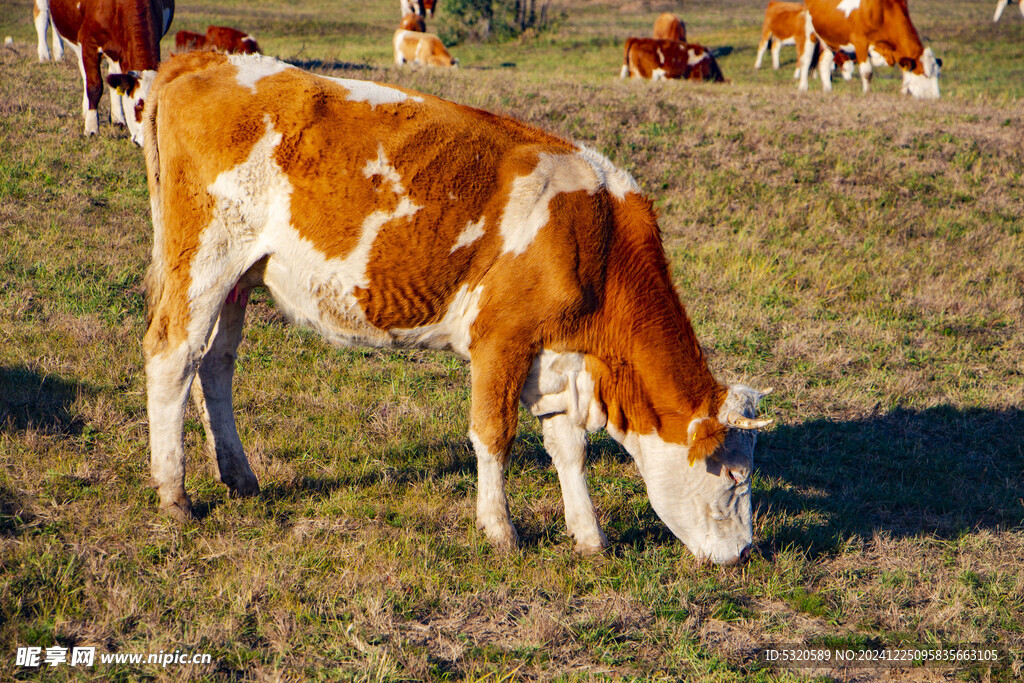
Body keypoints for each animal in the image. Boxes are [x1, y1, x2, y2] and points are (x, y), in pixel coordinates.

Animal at [47, 0, 174, 141]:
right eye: (138, 105)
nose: (147, 140)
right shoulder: (89, 45)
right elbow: (94, 87)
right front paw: (91, 128)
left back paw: (118, 119)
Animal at [140, 50, 770, 565]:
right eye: (735, 475)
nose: (744, 553)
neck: (595, 232)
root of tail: (207, 59)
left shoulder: (556, 355)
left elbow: (569, 448)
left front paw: (590, 536)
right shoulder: (501, 339)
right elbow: (493, 434)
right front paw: (500, 530)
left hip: (240, 277)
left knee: (215, 365)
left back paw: (239, 476)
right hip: (204, 258)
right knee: (173, 356)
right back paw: (174, 494)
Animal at [798, 0, 942, 98]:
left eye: (937, 74)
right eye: (925, 74)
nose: (936, 97)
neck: (884, 11)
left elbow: (906, 72)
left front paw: (904, 91)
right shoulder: (860, 42)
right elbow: (867, 72)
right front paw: (867, 93)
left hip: (831, 39)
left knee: (824, 62)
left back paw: (828, 89)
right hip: (810, 32)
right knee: (806, 60)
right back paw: (803, 87)